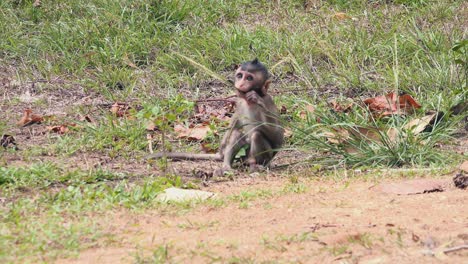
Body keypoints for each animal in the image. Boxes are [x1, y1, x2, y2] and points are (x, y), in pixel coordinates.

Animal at [148, 59, 284, 176]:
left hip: (265, 156)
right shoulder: (240, 101)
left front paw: (257, 99)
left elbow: (278, 136)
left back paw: (257, 165)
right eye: (240, 75)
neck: (248, 103)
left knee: (256, 135)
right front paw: (222, 149)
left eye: (249, 78)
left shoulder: (268, 101)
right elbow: (235, 122)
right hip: (243, 155)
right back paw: (227, 165)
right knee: (236, 133)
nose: (240, 83)